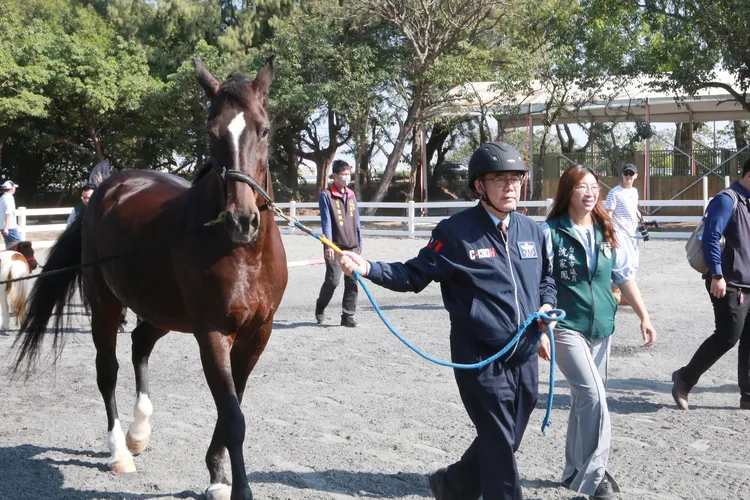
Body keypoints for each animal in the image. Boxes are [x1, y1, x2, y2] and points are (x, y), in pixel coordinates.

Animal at [12, 57, 288, 500]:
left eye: (264, 130)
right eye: (211, 132)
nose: (241, 220)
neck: (245, 255)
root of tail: (109, 188)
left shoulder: (257, 334)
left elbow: (233, 407)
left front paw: (217, 475)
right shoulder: (212, 333)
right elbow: (233, 418)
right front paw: (232, 486)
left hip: (161, 311)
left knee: (140, 344)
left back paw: (139, 432)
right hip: (106, 306)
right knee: (107, 371)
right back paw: (120, 452)